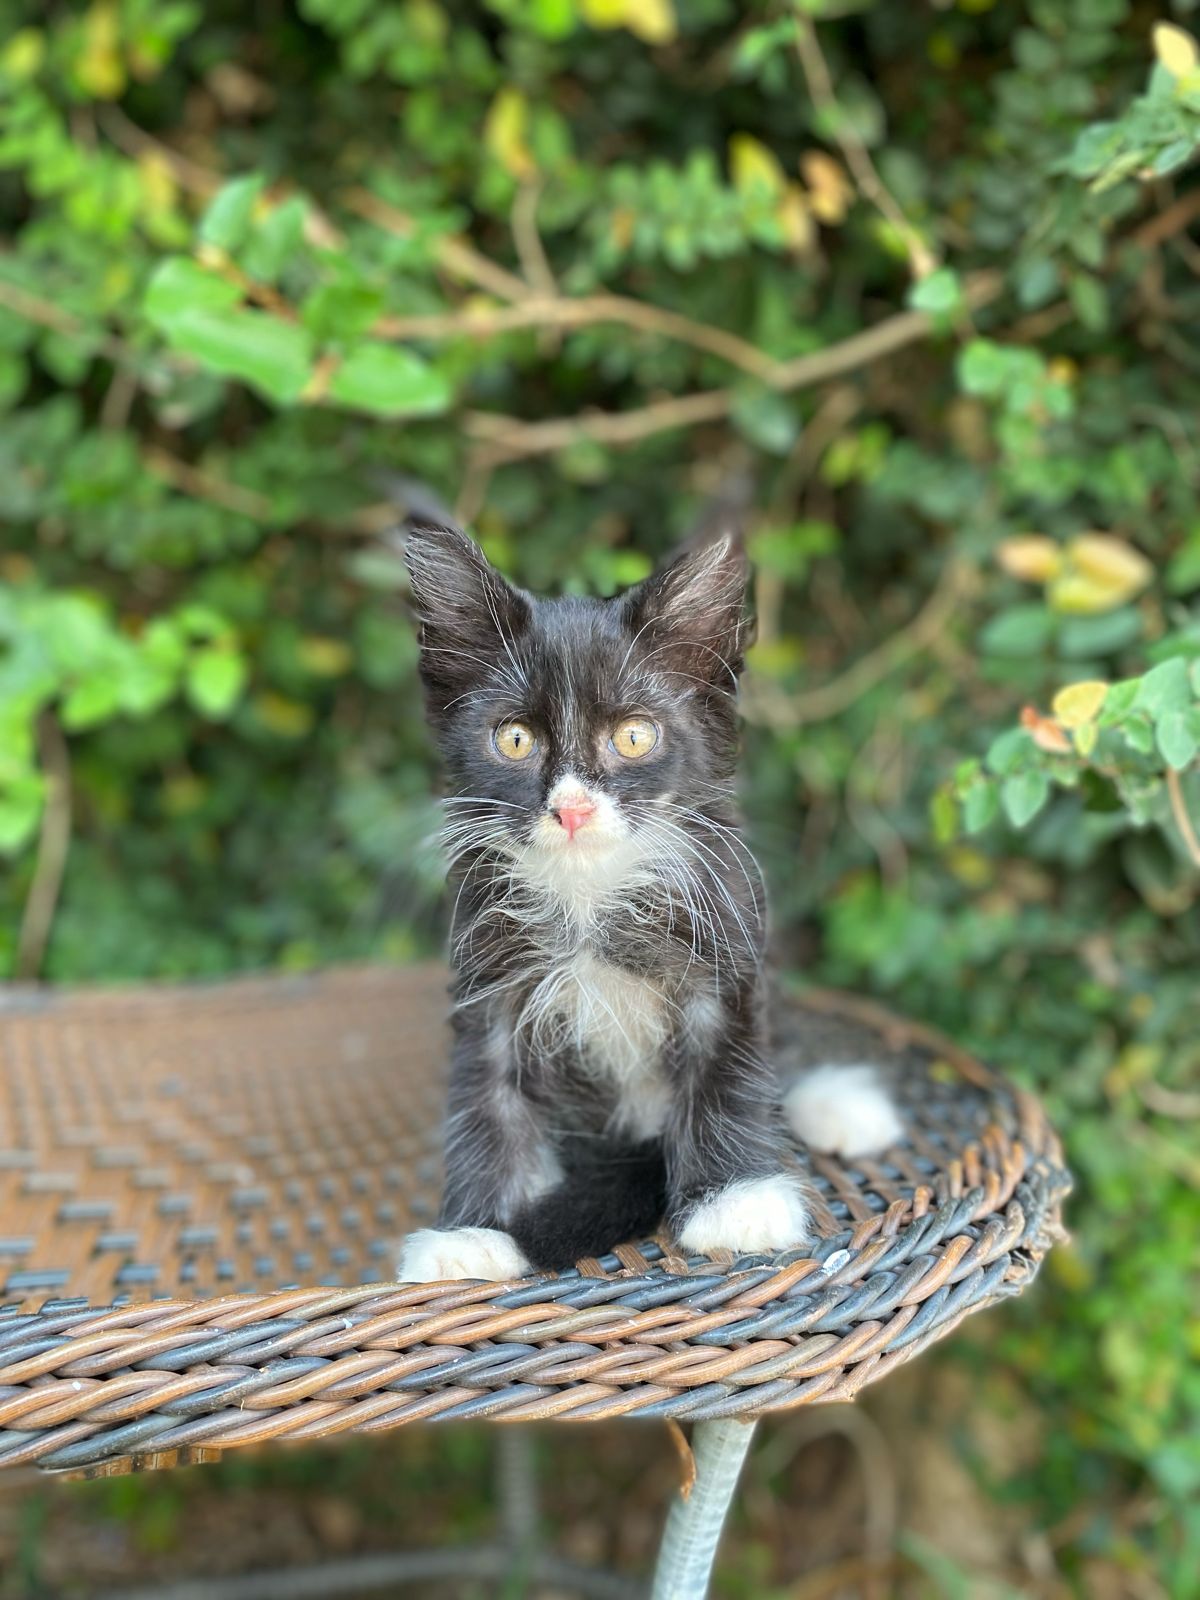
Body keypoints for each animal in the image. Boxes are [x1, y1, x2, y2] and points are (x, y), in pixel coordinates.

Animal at [396, 531, 902, 1280]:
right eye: (514, 740)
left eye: (634, 736)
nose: (572, 808)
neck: (590, 898)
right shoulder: (488, 981)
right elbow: (485, 1097)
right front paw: (471, 1236)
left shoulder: (725, 944)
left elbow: (731, 1069)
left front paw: (735, 1202)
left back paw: (834, 1102)